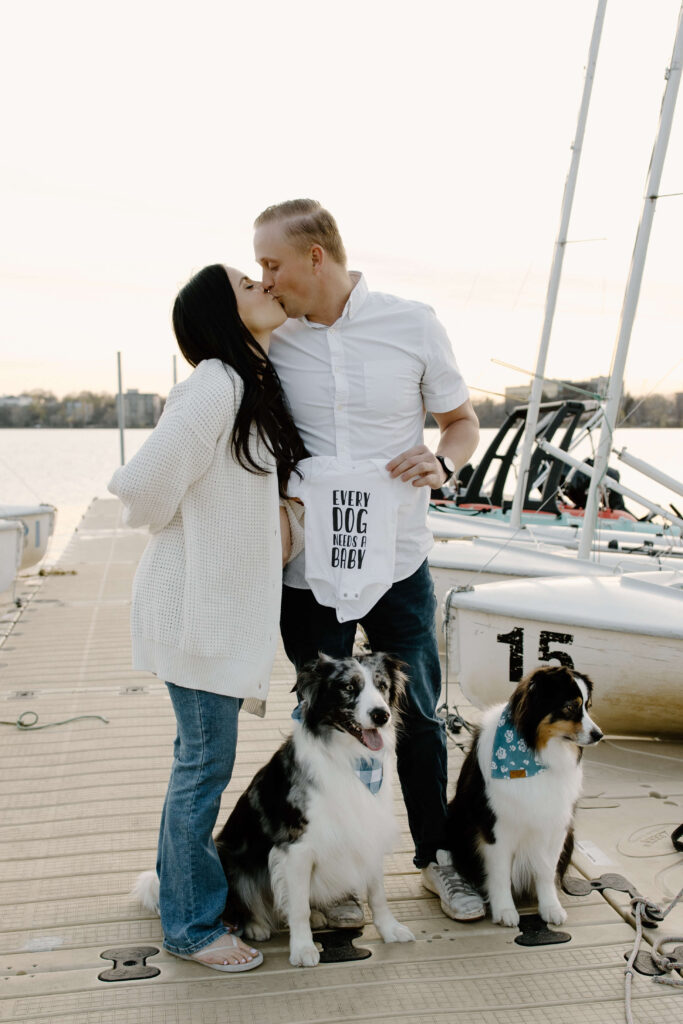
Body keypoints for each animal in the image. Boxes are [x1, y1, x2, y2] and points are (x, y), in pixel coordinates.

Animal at [136, 655, 413, 966]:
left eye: (382, 686)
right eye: (349, 687)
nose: (381, 715)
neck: (351, 758)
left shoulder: (369, 829)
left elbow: (377, 894)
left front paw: (390, 930)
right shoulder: (296, 847)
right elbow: (298, 906)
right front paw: (303, 949)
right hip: (225, 854)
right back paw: (255, 925)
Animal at [448, 663, 602, 929]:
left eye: (587, 706)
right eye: (570, 707)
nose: (599, 734)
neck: (534, 756)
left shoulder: (555, 825)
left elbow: (546, 871)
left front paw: (550, 907)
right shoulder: (495, 828)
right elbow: (500, 873)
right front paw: (504, 910)